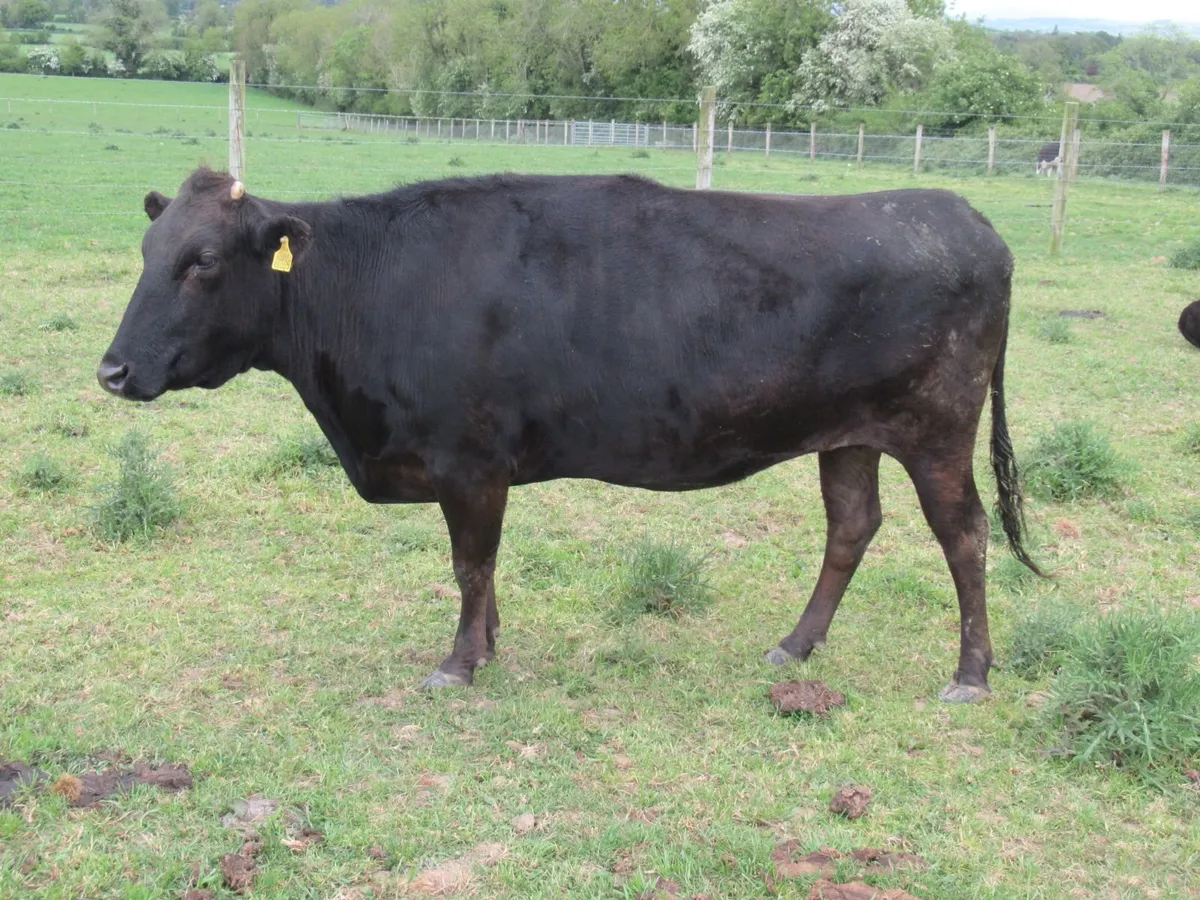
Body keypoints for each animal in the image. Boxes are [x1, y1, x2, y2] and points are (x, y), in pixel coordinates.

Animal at [97, 168, 1043, 702]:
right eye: (144, 253)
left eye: (202, 262)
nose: (112, 370)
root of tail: (964, 217)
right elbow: (481, 568)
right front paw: (488, 644)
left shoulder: (469, 460)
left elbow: (470, 563)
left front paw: (459, 663)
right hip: (846, 433)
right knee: (852, 526)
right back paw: (794, 646)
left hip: (936, 429)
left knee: (965, 536)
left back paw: (971, 676)